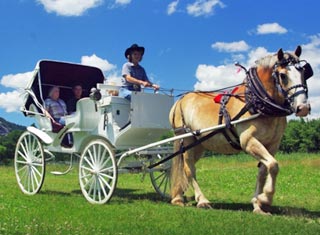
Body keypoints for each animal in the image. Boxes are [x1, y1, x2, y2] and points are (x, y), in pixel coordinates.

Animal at [170, 46, 312, 215]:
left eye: (304, 72)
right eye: (283, 75)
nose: (303, 108)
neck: (257, 101)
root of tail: (180, 100)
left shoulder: (273, 145)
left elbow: (264, 171)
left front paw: (258, 204)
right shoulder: (248, 141)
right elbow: (273, 165)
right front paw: (266, 197)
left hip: (199, 145)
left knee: (187, 168)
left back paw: (179, 197)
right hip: (186, 139)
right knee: (188, 168)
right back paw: (201, 200)